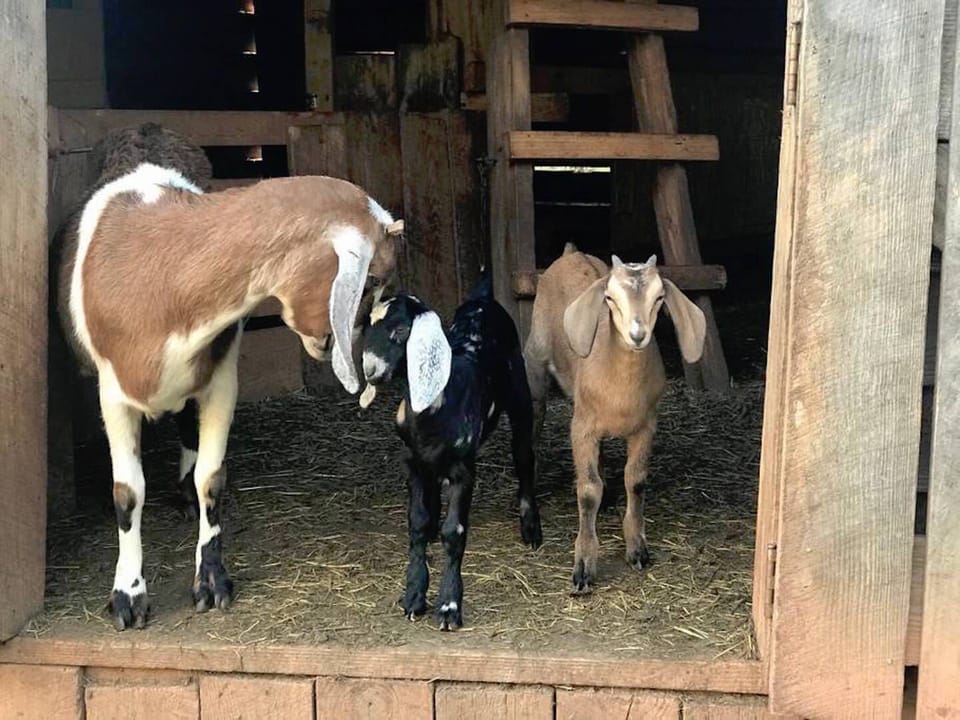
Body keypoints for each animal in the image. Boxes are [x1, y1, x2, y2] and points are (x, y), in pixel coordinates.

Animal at [59, 156, 401, 630]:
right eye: (371, 281)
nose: (339, 342)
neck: (167, 279)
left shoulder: (221, 381)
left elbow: (211, 478)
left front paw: (211, 580)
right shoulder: (113, 393)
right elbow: (128, 492)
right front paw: (128, 596)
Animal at [358, 275, 543, 629]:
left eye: (400, 330)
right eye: (368, 326)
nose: (371, 370)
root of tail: (482, 298)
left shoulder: (463, 471)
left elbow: (454, 532)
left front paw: (448, 606)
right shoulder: (412, 463)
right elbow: (416, 524)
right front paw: (414, 596)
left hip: (520, 395)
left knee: (524, 458)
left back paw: (531, 529)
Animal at [524, 246, 705, 594]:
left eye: (659, 297)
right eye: (609, 297)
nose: (637, 334)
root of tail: (571, 252)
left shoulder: (646, 426)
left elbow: (636, 481)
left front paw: (637, 549)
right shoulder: (581, 428)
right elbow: (587, 490)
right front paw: (583, 567)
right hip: (535, 367)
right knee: (531, 436)